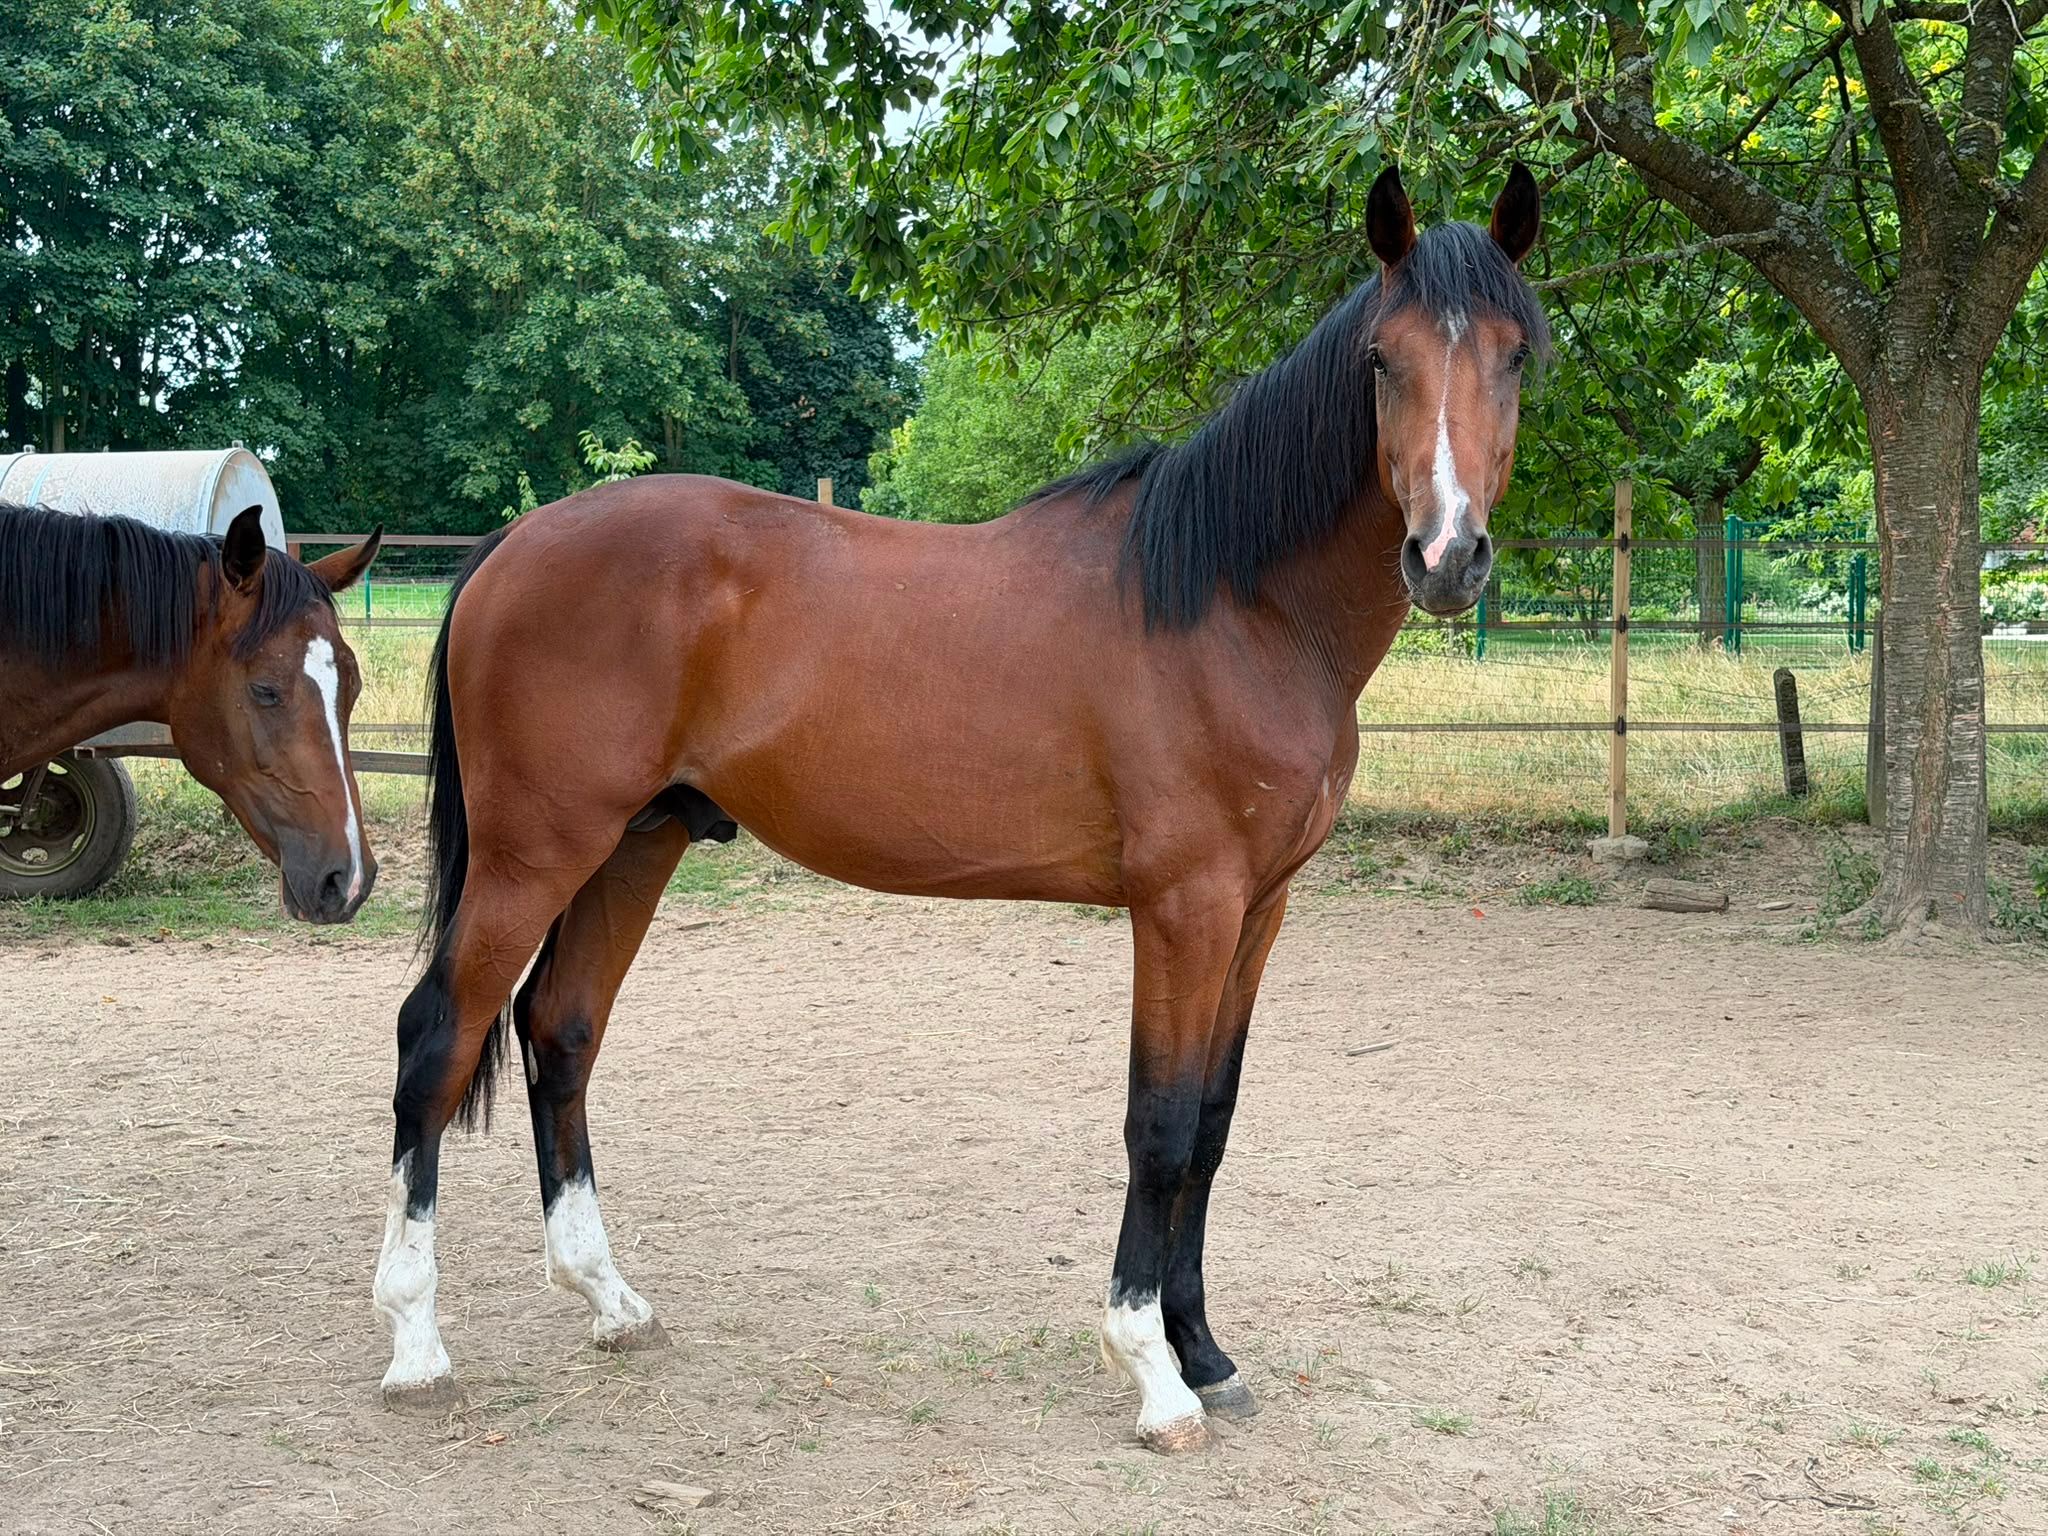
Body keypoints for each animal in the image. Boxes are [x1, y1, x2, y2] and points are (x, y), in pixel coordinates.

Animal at [374, 164, 1546, 1451]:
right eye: (1381, 360)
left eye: (1516, 356)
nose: (1447, 557)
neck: (1235, 603)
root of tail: (508, 546)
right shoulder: (1183, 906)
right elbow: (1158, 1124)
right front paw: (1151, 1370)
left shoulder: (1259, 909)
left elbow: (1213, 1122)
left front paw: (1204, 1349)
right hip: (536, 853)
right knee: (437, 1038)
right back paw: (415, 1342)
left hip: (634, 846)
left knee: (560, 1031)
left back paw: (609, 1299)